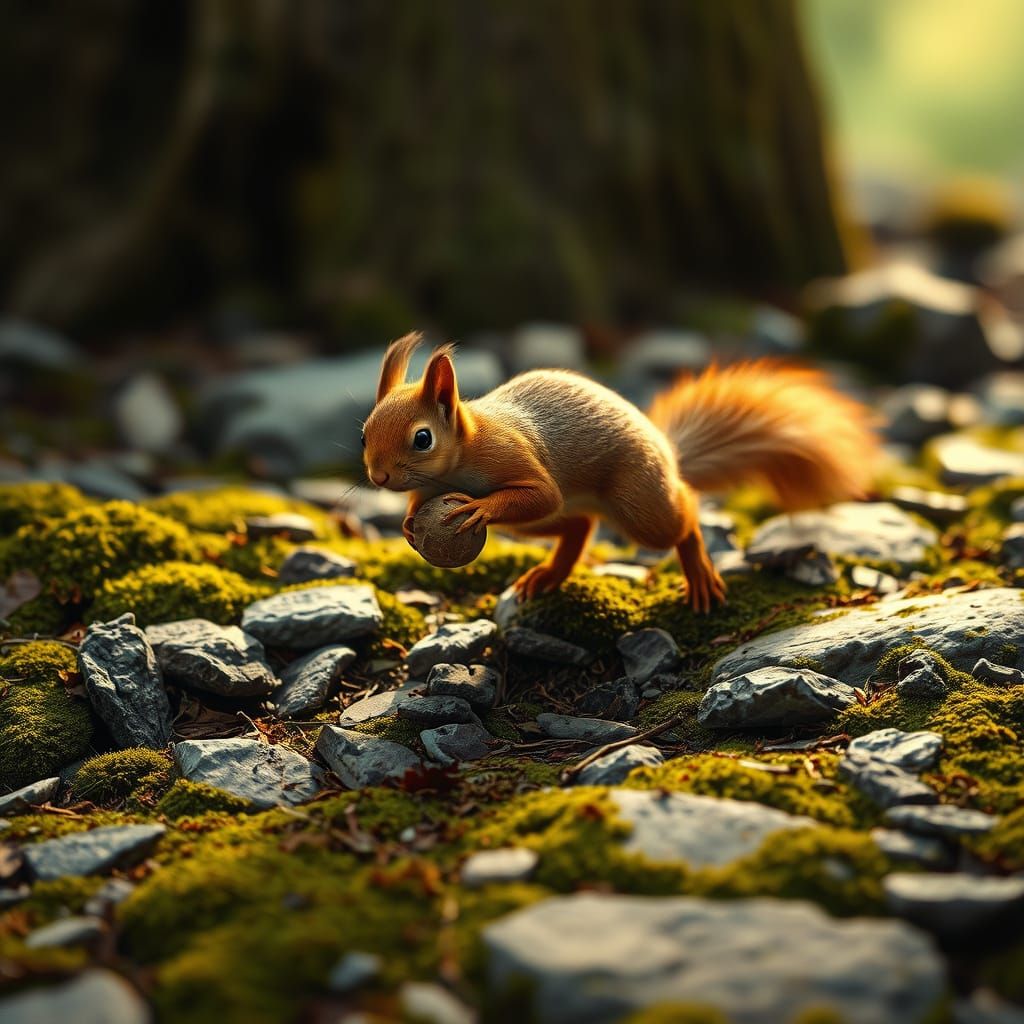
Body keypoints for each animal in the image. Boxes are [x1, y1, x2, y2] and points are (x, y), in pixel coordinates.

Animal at [361, 331, 877, 612]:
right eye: (364, 433)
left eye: (422, 439)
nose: (378, 478)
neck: (462, 455)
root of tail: (668, 453)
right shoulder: (436, 484)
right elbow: (421, 500)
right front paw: (409, 522)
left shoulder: (511, 454)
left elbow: (540, 491)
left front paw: (480, 508)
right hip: (536, 528)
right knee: (579, 525)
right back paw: (545, 576)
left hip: (639, 504)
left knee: (683, 516)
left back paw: (699, 572)